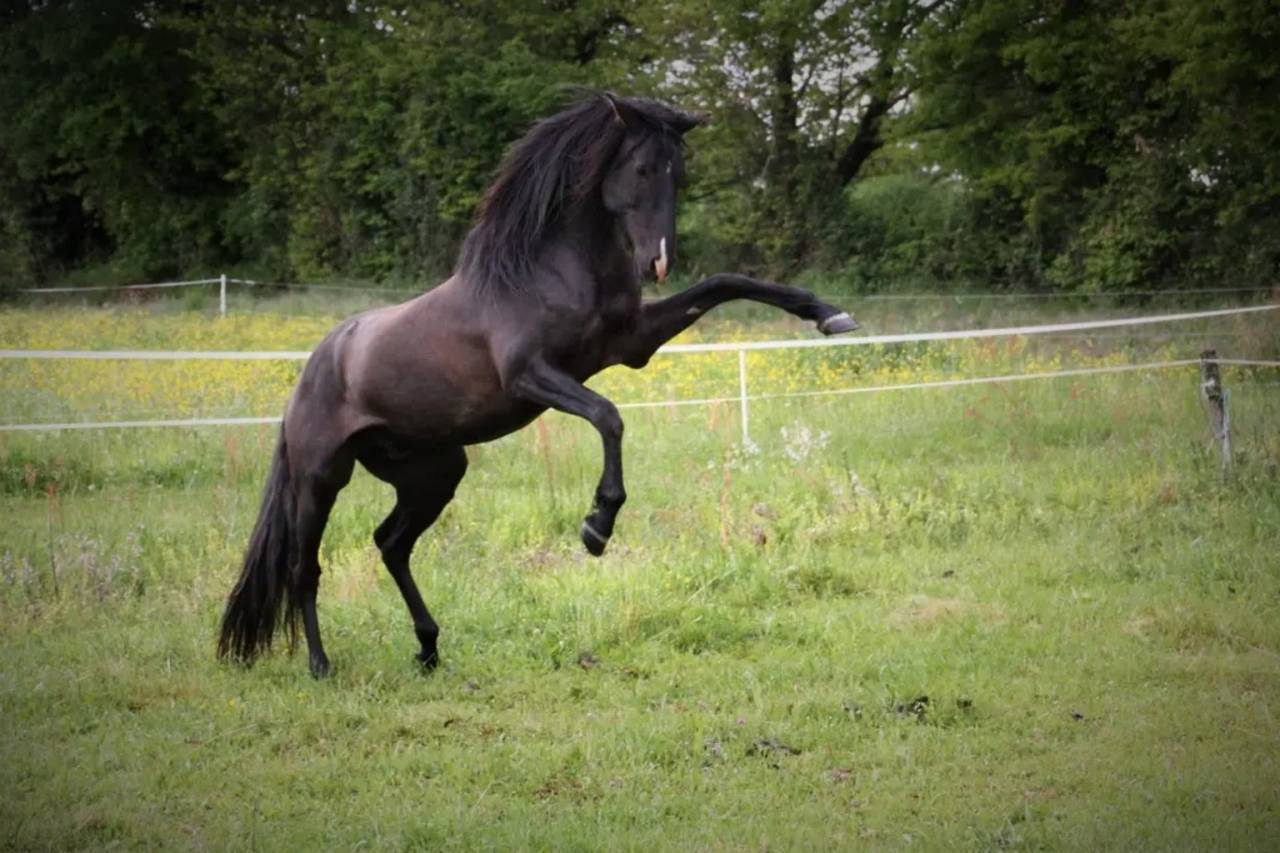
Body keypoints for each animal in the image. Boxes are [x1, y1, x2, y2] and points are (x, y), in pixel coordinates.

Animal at [217, 92, 859, 678]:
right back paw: (321, 665)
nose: (657, 262)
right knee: (304, 567)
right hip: (321, 479)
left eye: (679, 172)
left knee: (391, 544)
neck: (543, 272)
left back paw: (428, 648)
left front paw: (830, 315)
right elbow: (608, 416)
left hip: (433, 472)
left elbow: (729, 282)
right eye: (641, 168)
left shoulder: (631, 345)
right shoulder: (532, 375)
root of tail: (313, 369)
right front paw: (597, 527)